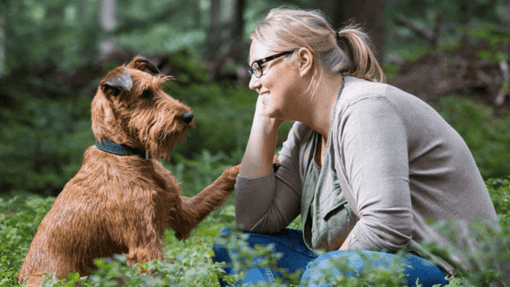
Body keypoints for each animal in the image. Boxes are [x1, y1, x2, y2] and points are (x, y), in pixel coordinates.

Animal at [17, 56, 241, 287]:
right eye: (145, 93)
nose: (188, 116)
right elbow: (158, 275)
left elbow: (221, 181)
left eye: (161, 87)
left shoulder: (183, 213)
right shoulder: (144, 244)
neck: (126, 155)